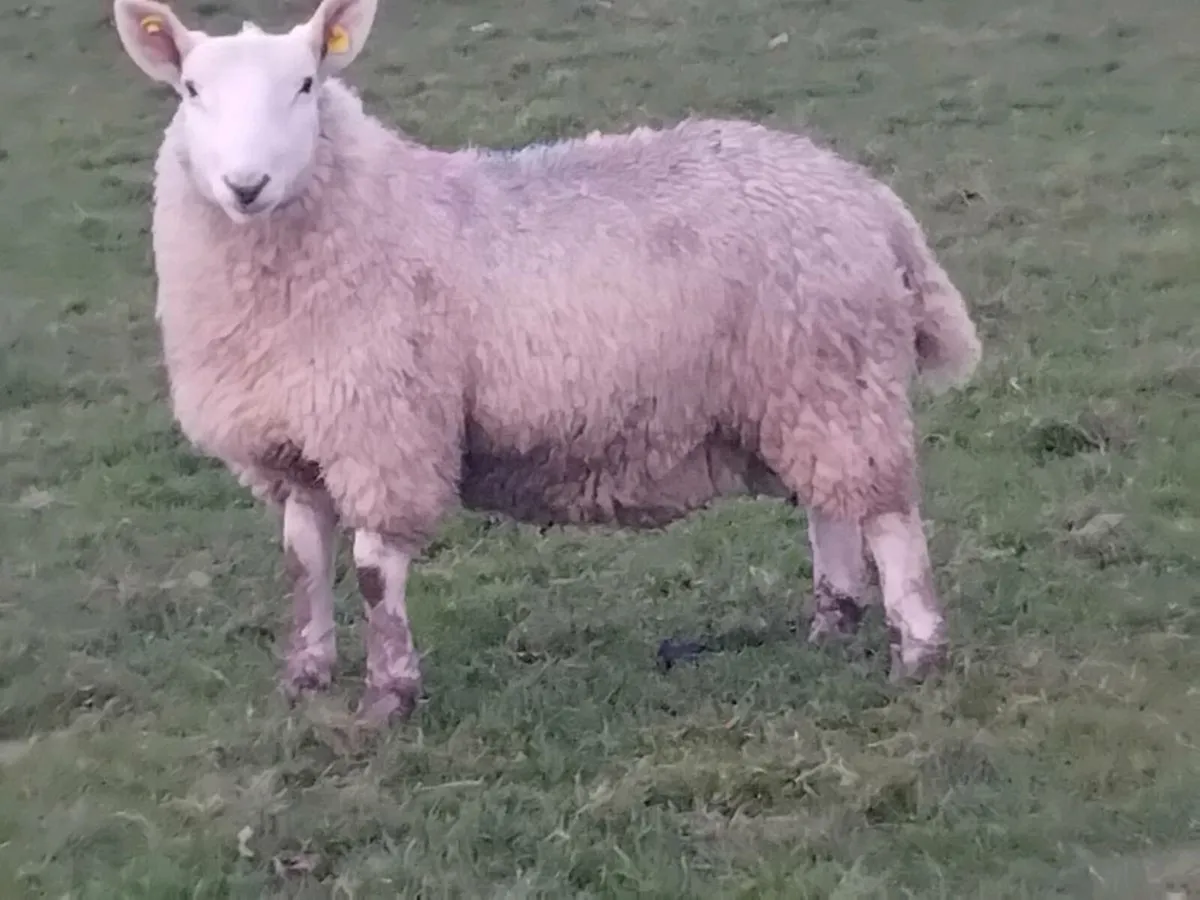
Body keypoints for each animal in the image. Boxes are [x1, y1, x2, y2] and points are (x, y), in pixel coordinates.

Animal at [112, 0, 982, 725]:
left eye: (304, 84)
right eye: (190, 89)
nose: (245, 184)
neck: (365, 213)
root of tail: (867, 198)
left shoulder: (384, 430)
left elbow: (371, 571)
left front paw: (389, 697)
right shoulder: (296, 438)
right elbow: (302, 564)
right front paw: (306, 675)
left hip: (834, 369)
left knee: (887, 515)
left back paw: (919, 651)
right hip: (799, 383)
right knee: (831, 505)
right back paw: (831, 623)